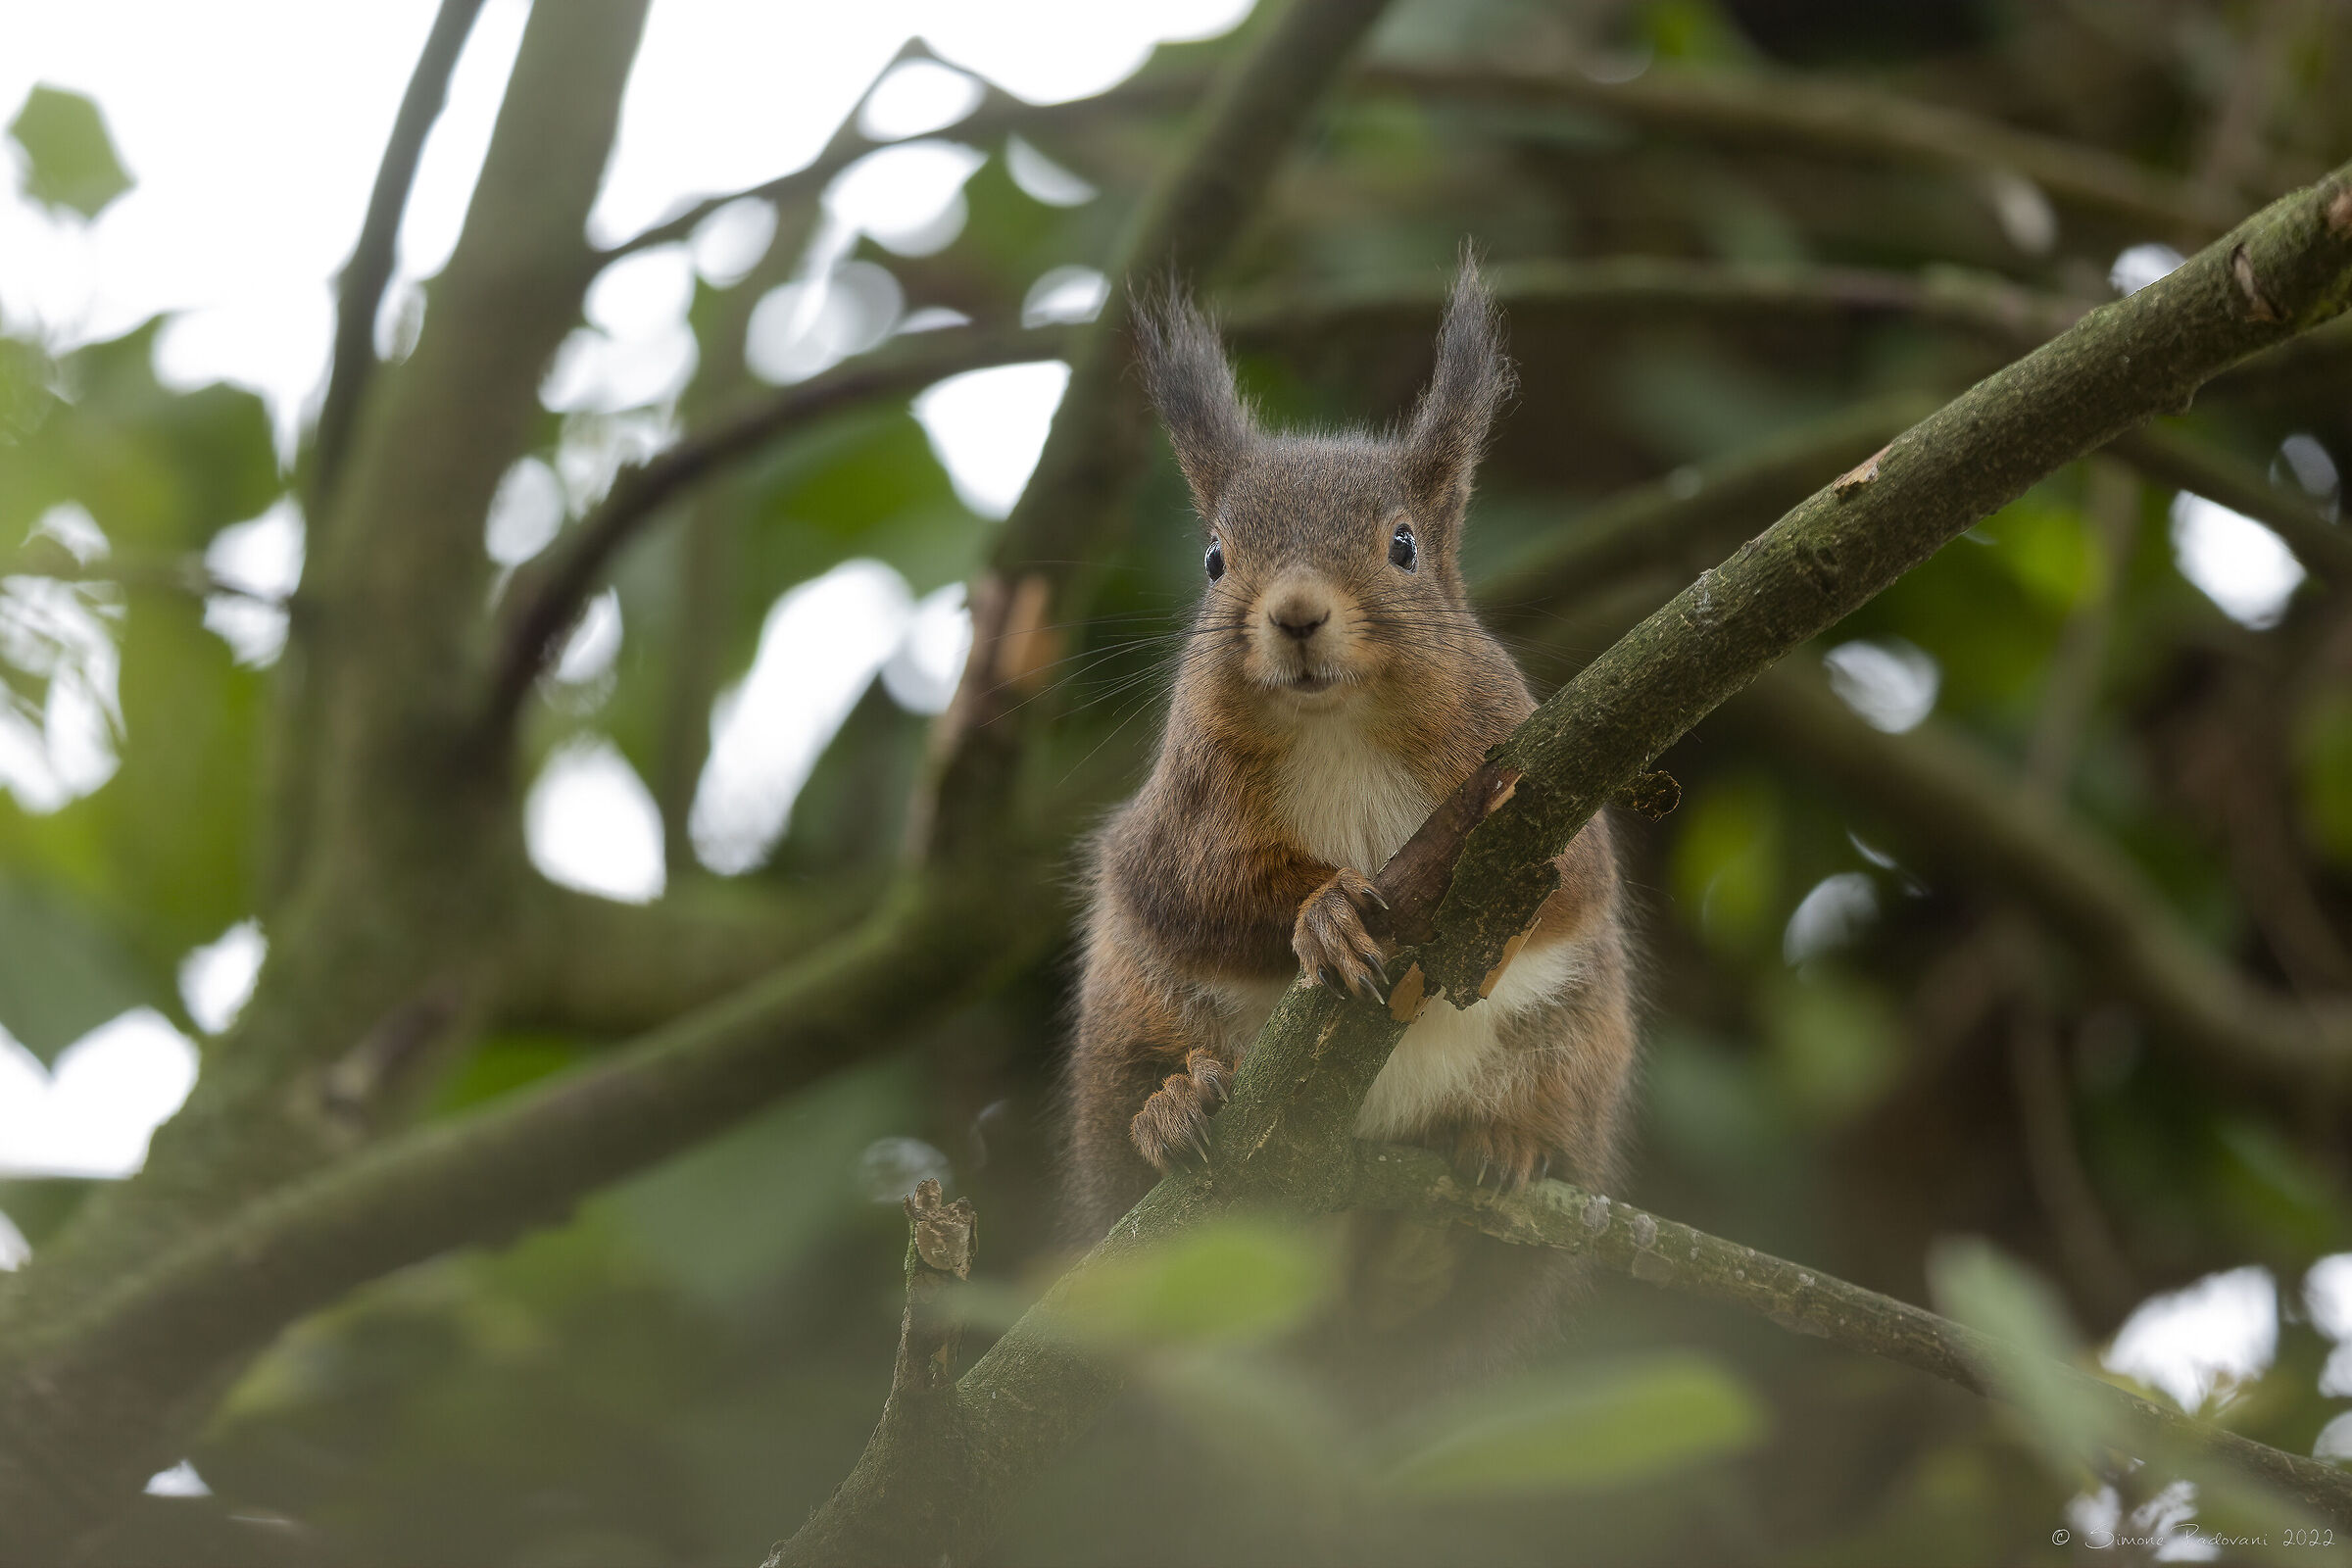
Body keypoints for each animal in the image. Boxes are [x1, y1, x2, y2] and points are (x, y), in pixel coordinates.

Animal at [1062, 262, 1640, 1359]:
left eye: (1403, 545)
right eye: (1214, 559)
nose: (1294, 614)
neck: (1338, 723)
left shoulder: (1544, 769)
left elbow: (1567, 887)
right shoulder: (1177, 827)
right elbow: (1210, 897)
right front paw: (1324, 912)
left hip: (1576, 1058)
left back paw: (1483, 1173)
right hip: (1126, 1024)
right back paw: (1173, 1107)